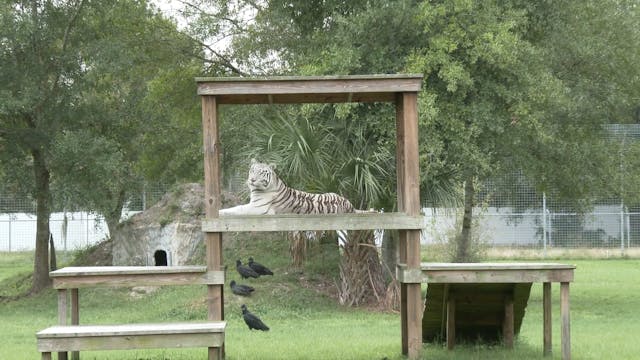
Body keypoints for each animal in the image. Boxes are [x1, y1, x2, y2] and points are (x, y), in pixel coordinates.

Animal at [220, 159, 360, 215]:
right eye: (252, 170)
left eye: (261, 172)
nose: (252, 180)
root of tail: (350, 206)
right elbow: (237, 207)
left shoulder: (257, 208)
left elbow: (237, 209)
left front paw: (220, 212)